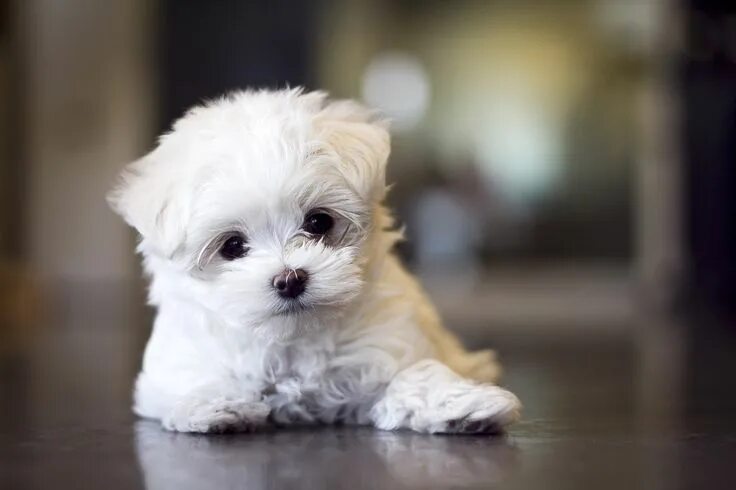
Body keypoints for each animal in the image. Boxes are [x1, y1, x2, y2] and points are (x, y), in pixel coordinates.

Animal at [109, 88, 524, 432]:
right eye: (232, 246)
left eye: (318, 222)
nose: (290, 279)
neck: (294, 340)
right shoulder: (177, 364)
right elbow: (196, 379)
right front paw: (217, 405)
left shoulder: (387, 343)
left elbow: (416, 375)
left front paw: (463, 406)